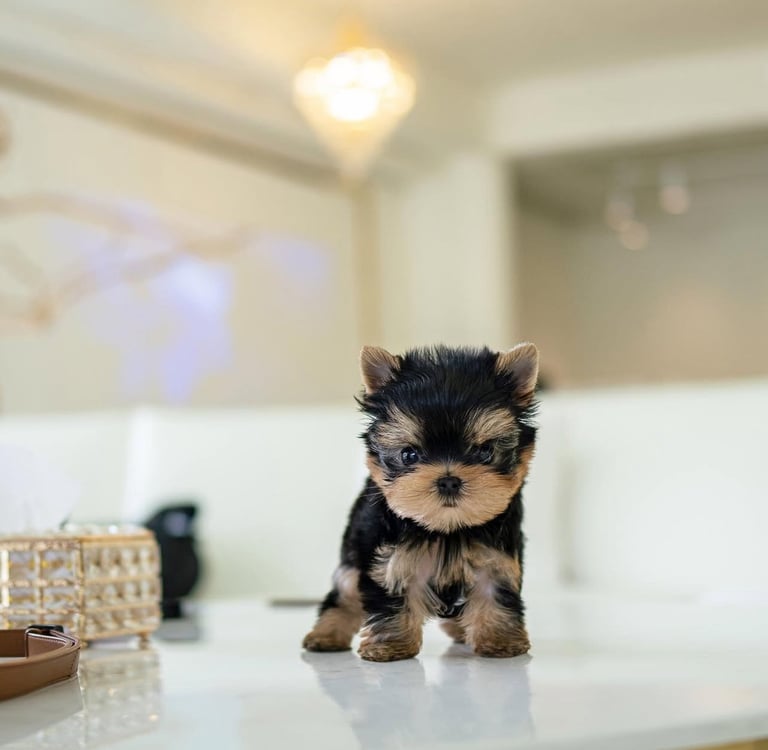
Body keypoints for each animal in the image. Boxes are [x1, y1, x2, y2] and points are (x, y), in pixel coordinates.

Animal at [302, 343, 539, 662]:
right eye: (409, 455)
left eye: (485, 452)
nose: (449, 480)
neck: (448, 528)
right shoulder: (392, 560)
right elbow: (391, 600)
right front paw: (390, 646)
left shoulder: (496, 557)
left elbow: (496, 592)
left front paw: (500, 640)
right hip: (353, 554)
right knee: (345, 593)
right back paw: (326, 635)